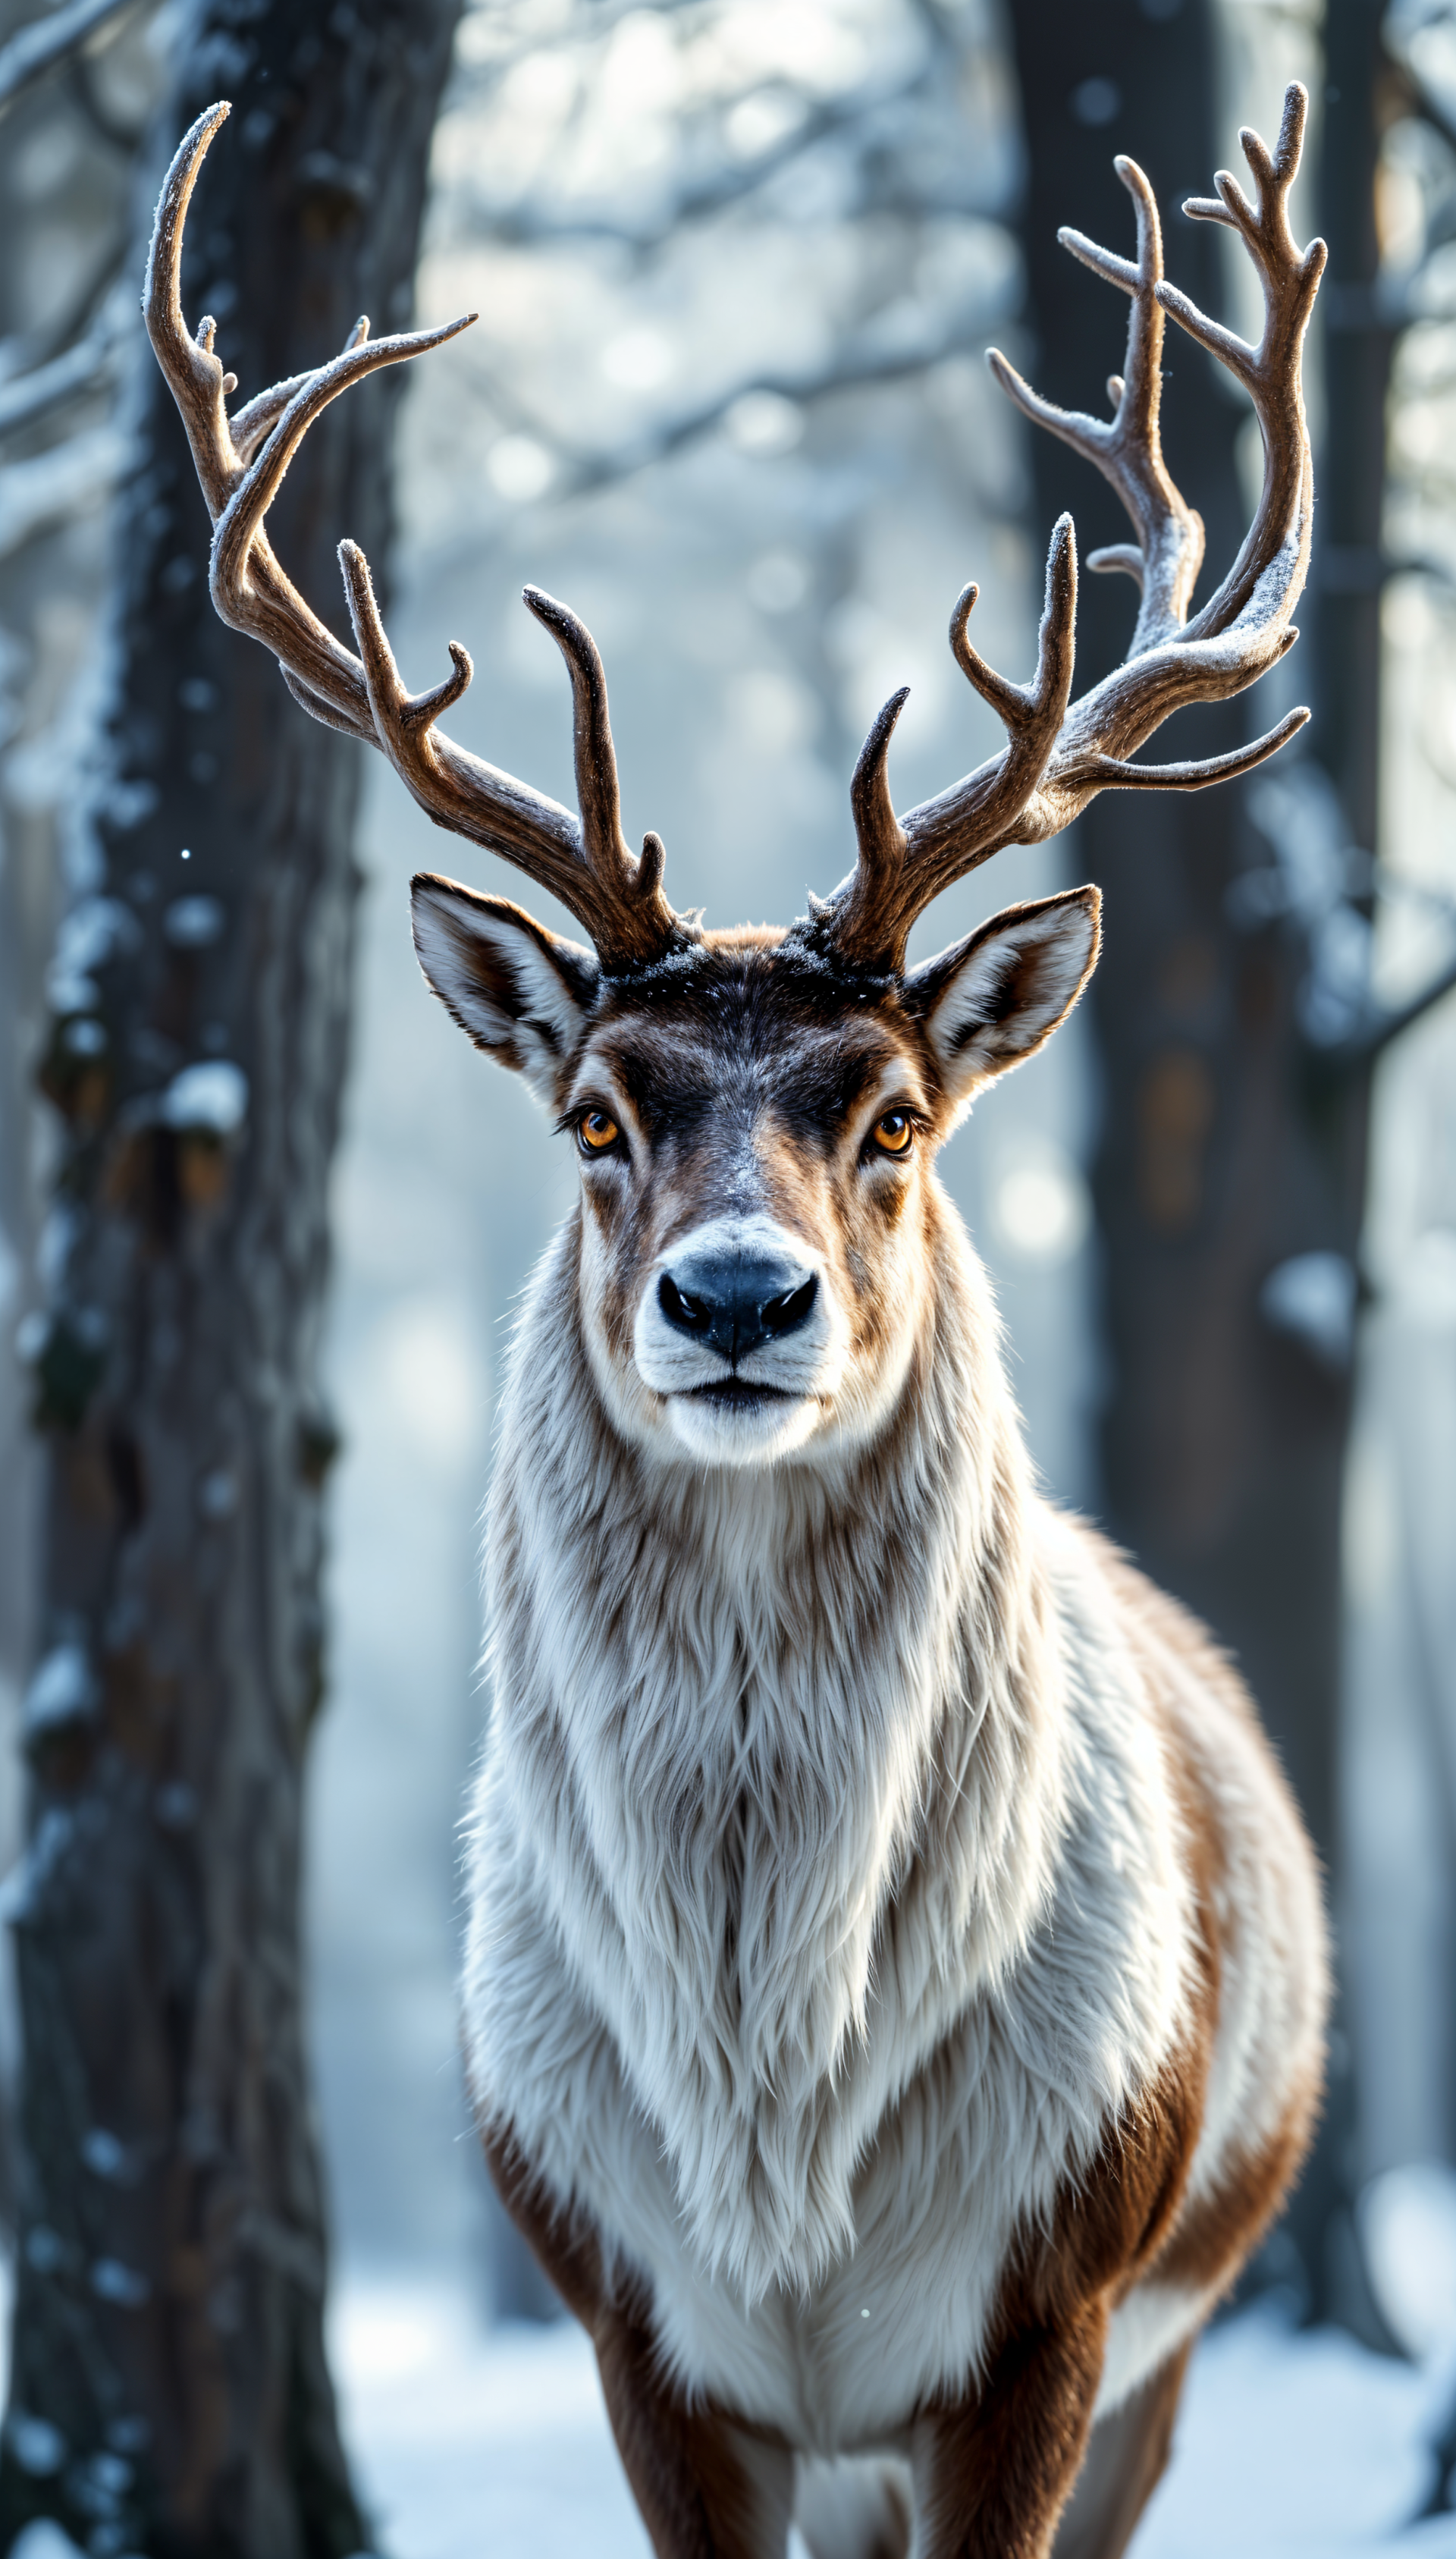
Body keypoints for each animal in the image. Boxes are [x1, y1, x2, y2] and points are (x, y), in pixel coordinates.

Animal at [147, 82, 1328, 2559]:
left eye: (892, 1112)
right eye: (597, 1110)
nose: (734, 1295)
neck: (774, 2139)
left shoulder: (1051, 2302)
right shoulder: (628, 2314)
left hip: (1179, 2310)